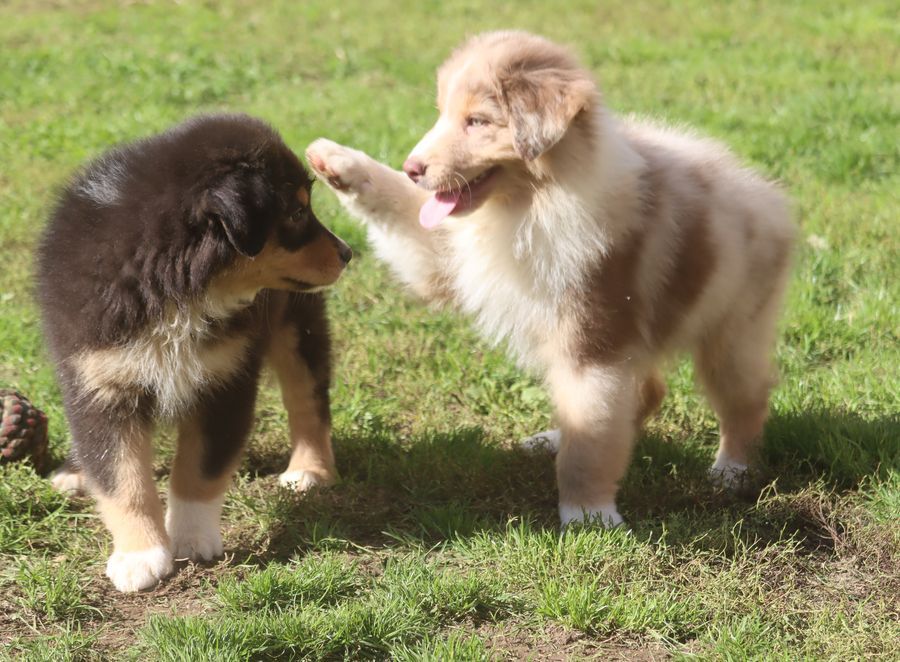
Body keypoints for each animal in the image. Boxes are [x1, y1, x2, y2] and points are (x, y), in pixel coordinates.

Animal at [37, 115, 352, 596]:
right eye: (297, 213)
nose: (349, 253)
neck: (176, 290)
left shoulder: (224, 379)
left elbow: (198, 469)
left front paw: (191, 538)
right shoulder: (99, 383)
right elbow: (121, 475)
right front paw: (140, 557)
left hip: (296, 323)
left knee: (307, 399)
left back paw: (309, 471)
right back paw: (75, 472)